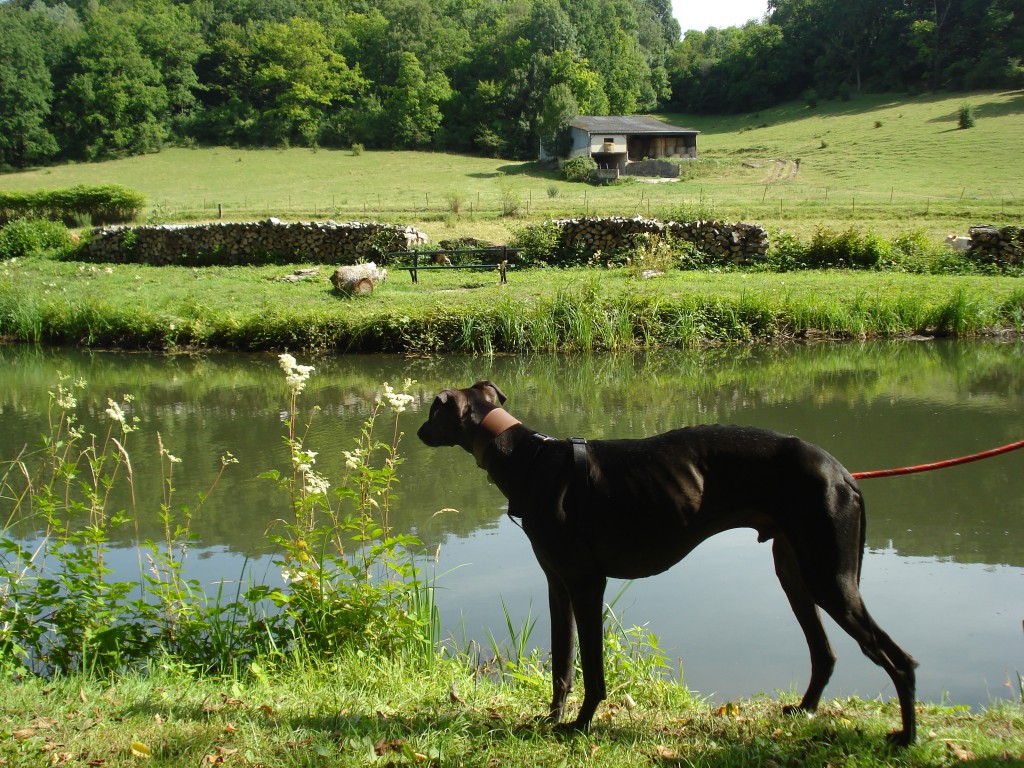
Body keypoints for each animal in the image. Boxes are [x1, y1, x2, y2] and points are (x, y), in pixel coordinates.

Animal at [417, 382, 921, 749]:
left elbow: (593, 670)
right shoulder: (557, 586)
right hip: (795, 574)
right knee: (825, 652)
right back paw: (805, 710)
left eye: (432, 411)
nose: (420, 432)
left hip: (830, 578)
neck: (530, 458)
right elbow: (562, 664)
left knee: (900, 661)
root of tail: (844, 473)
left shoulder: (587, 584)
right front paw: (551, 718)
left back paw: (906, 738)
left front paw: (581, 725)